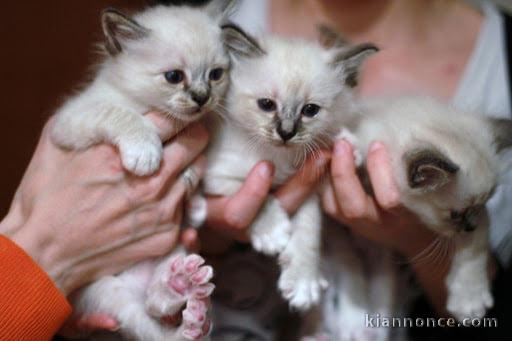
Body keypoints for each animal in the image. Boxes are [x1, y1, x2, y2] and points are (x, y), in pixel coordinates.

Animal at [50, 1, 236, 338]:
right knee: (147, 318)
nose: (202, 98)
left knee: (157, 307)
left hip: (176, 249)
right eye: (174, 76)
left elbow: (199, 170)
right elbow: (121, 115)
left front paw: (196, 201)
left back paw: (181, 289)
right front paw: (145, 154)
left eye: (216, 75)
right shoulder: (71, 119)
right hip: (107, 292)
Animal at [304, 96, 512, 340]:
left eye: (482, 204)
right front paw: (352, 147)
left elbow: (476, 246)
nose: (470, 226)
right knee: (348, 266)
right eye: (455, 215)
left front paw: (469, 298)